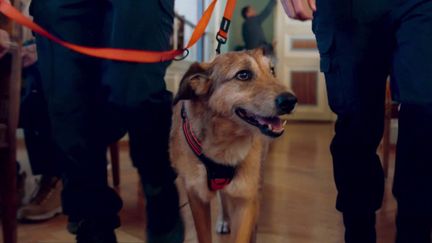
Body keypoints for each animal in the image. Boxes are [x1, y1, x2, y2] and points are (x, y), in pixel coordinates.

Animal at [169, 49, 296, 243]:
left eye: (272, 71)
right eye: (243, 75)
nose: (291, 100)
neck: (223, 145)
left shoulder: (245, 198)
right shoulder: (196, 195)